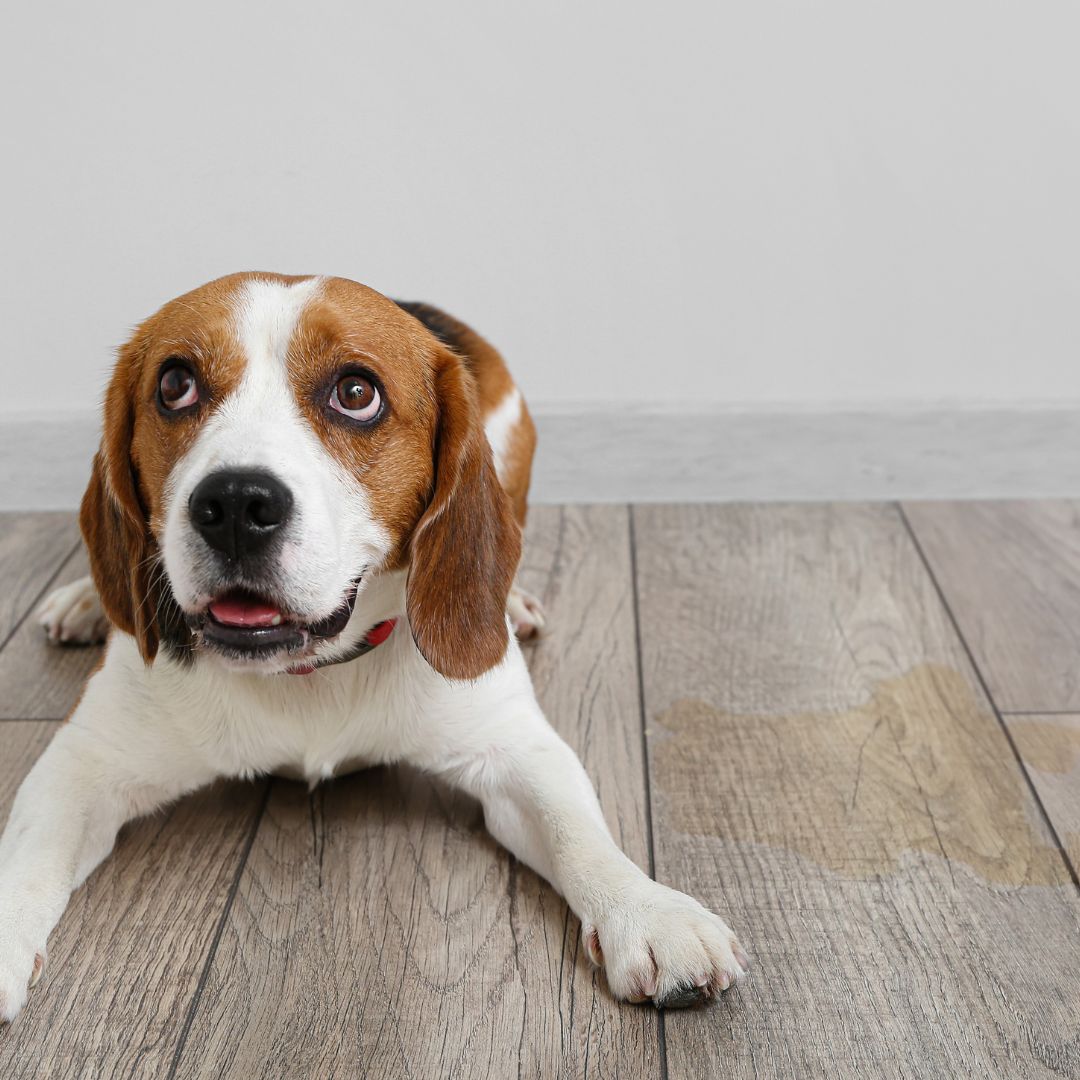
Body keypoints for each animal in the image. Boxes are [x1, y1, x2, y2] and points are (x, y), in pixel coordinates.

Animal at [0, 274, 747, 1023]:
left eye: (356, 393)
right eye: (175, 384)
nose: (236, 504)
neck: (308, 673)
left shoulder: (516, 748)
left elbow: (580, 833)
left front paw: (649, 913)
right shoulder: (85, 761)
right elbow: (28, 854)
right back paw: (88, 601)